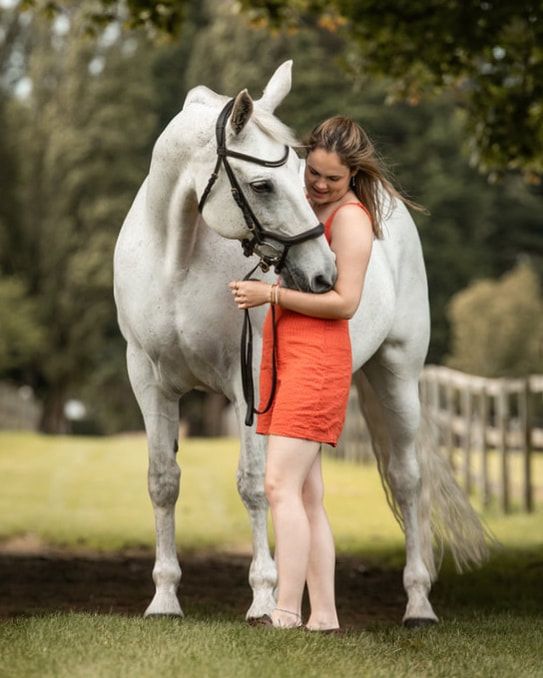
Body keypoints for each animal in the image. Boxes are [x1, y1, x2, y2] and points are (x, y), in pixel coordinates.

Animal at [113, 61, 488, 627]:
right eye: (263, 184)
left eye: (304, 176)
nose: (324, 274)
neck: (175, 259)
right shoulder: (148, 382)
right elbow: (163, 480)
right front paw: (164, 599)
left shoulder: (248, 385)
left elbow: (252, 485)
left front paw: (263, 599)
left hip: (397, 375)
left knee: (408, 481)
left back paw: (418, 602)